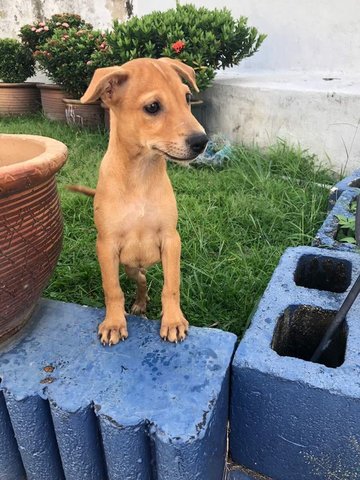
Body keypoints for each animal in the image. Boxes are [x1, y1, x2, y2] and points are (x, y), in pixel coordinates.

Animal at [79, 58, 208, 344]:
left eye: (187, 97)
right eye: (152, 107)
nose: (202, 141)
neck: (140, 175)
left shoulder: (171, 240)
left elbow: (171, 286)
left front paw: (173, 321)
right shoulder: (106, 246)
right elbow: (112, 289)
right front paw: (114, 323)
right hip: (127, 265)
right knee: (139, 280)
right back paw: (138, 304)